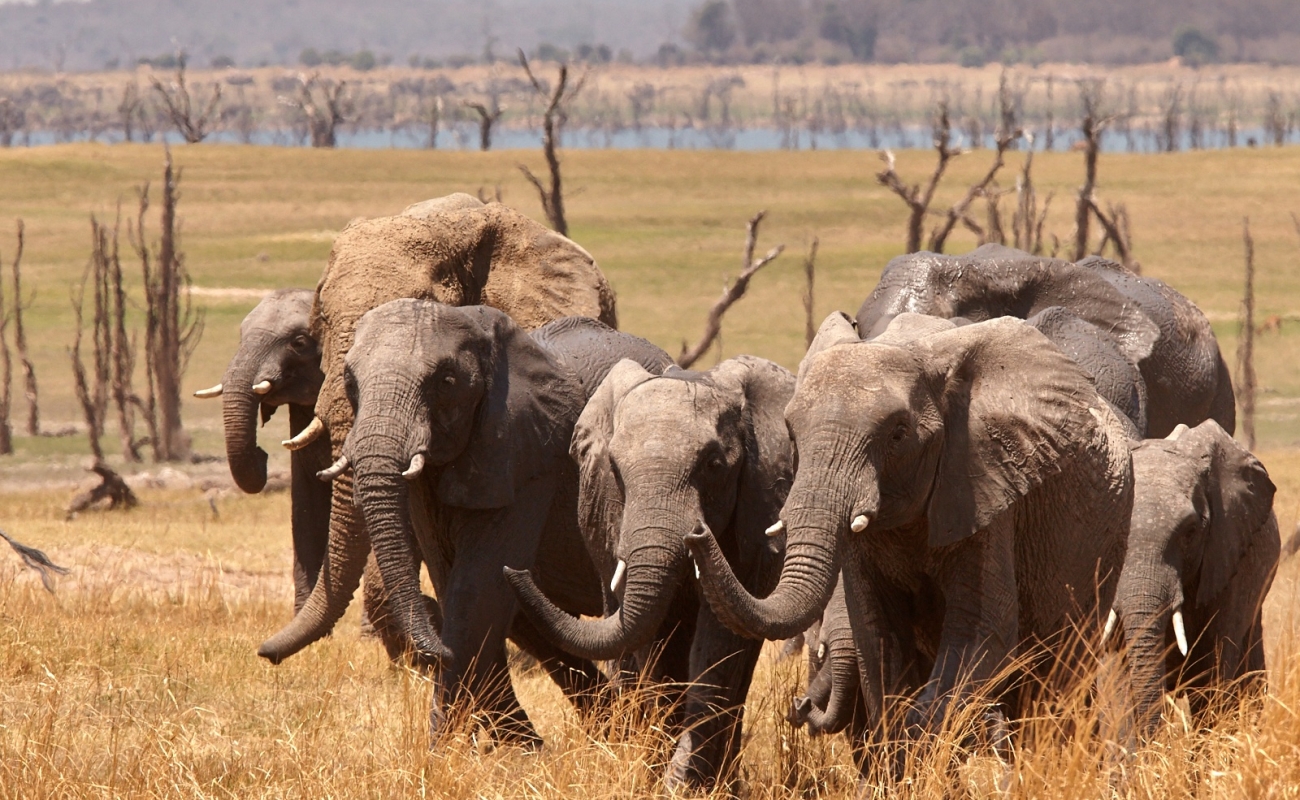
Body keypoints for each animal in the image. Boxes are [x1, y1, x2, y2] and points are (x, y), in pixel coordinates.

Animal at [319, 300, 673, 744]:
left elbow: (477, 589)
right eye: (349, 380)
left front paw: (442, 751)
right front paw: (515, 749)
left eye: (447, 380)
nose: (431, 649)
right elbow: (459, 583)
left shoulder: (526, 454)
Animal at [504, 355, 794, 790]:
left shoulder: (756, 506)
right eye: (614, 469)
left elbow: (719, 638)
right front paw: (657, 778)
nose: (697, 533)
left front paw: (683, 786)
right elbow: (647, 639)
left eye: (714, 465)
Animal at [686, 312, 1134, 777]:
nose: (697, 532)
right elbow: (877, 633)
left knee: (1056, 677)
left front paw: (924, 742)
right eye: (791, 434)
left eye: (899, 434)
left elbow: (981, 629)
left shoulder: (983, 482)